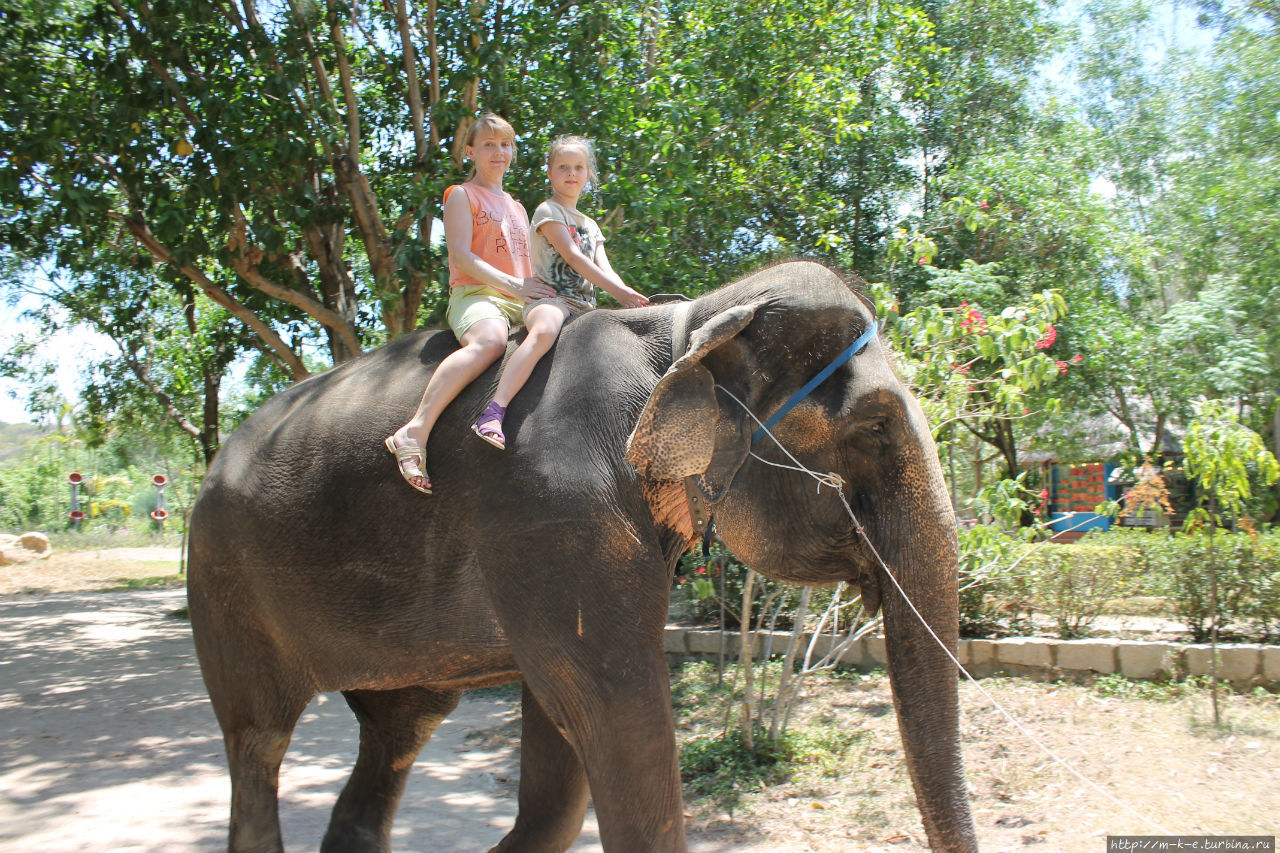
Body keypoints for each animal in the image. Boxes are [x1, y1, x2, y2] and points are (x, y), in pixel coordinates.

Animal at [185, 261, 972, 850]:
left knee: (398, 731)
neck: (688, 324)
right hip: (223, 577)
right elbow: (619, 722)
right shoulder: (555, 511)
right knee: (258, 740)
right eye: (875, 427)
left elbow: (562, 767)